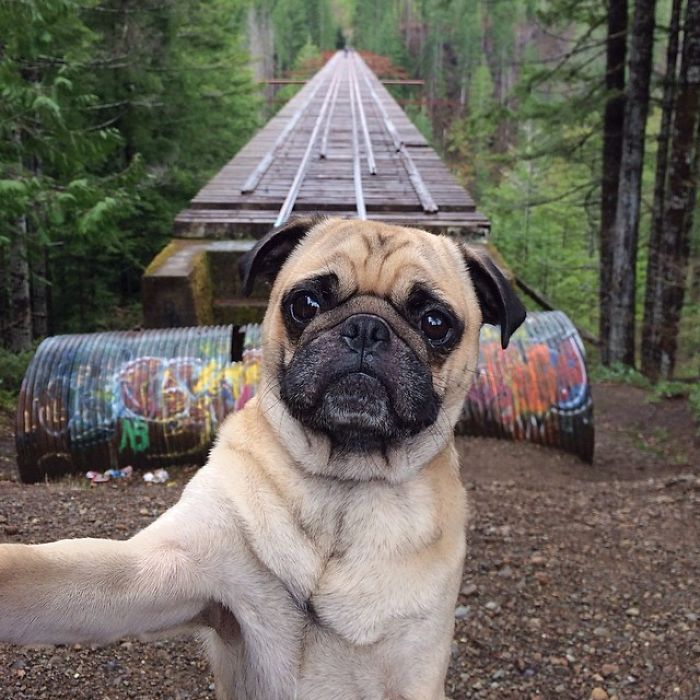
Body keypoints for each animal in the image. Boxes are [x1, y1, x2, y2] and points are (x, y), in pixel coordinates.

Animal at [0, 216, 524, 696]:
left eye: (435, 323)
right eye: (305, 304)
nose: (366, 327)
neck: (342, 484)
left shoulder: (414, 666)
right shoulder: (170, 570)